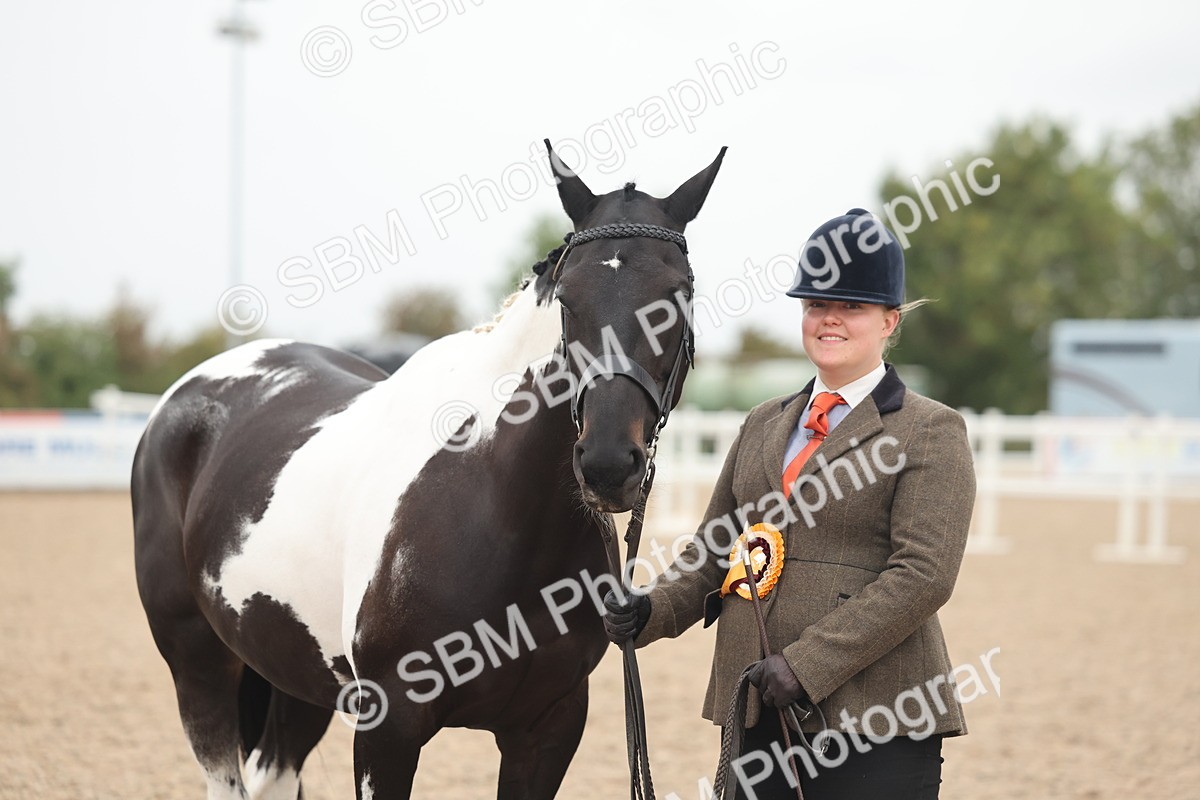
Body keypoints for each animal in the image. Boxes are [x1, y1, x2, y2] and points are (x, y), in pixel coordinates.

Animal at [132, 140, 725, 800]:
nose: (606, 464)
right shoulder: (387, 726)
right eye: (568, 300)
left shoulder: (548, 729)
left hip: (297, 672)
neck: (495, 505)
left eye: (679, 293)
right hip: (199, 664)